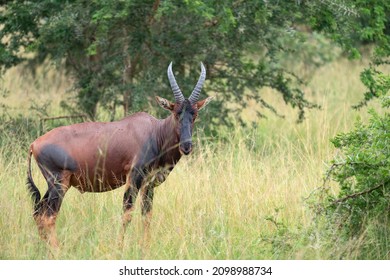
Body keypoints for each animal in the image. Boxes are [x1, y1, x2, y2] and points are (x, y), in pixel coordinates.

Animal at [25, 61, 212, 247]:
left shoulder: (148, 184)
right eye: (176, 113)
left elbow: (147, 216)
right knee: (48, 217)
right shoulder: (133, 178)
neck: (154, 132)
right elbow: (127, 214)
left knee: (39, 213)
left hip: (54, 185)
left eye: (194, 115)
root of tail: (34, 144)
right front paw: (119, 247)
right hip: (59, 184)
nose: (186, 146)